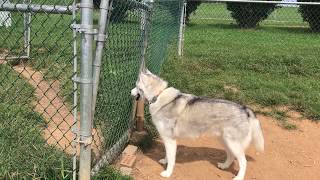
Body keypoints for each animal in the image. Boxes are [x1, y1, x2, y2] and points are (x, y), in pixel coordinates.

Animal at [131, 69, 264, 180]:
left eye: (136, 86)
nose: (130, 91)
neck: (158, 95)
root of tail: (245, 109)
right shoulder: (168, 140)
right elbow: (168, 155)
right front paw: (165, 161)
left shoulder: (170, 140)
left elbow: (172, 159)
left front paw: (167, 173)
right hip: (225, 141)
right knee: (231, 156)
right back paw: (224, 166)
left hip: (233, 144)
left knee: (243, 162)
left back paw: (238, 177)